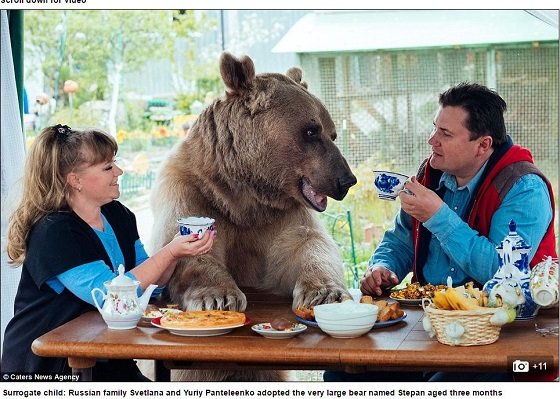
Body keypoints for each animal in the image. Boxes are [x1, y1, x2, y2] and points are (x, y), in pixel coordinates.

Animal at [150, 53, 354, 382]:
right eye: (311, 130)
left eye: (332, 132)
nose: (346, 180)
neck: (243, 196)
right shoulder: (191, 191)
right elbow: (185, 248)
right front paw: (219, 297)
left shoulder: (280, 216)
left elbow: (307, 246)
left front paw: (325, 294)